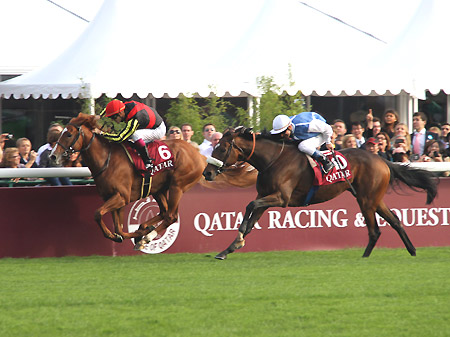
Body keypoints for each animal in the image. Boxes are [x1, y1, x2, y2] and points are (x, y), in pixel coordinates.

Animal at [51, 114, 207, 248]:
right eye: (60, 133)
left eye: (69, 134)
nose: (53, 156)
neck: (106, 160)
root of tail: (200, 155)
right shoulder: (112, 198)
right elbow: (119, 229)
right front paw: (131, 234)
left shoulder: (121, 197)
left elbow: (98, 214)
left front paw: (134, 235)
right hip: (159, 189)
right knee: (164, 212)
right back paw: (145, 228)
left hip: (177, 186)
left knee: (171, 216)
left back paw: (147, 237)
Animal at [203, 127, 436, 258]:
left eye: (222, 148)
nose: (207, 172)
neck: (273, 160)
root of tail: (382, 159)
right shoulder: (265, 197)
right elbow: (251, 219)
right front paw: (228, 249)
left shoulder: (281, 198)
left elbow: (249, 206)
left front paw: (238, 239)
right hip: (373, 199)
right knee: (395, 220)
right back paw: (412, 251)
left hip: (366, 200)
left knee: (374, 230)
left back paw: (365, 257)